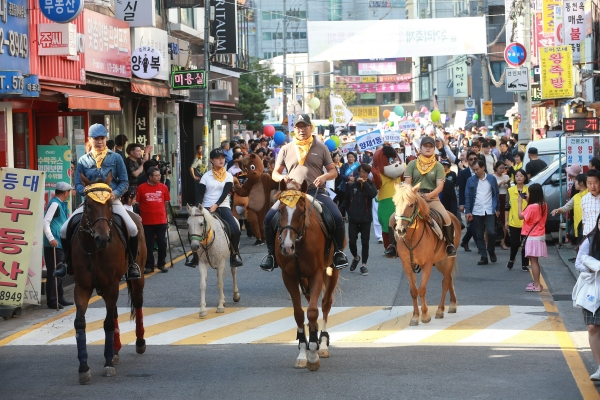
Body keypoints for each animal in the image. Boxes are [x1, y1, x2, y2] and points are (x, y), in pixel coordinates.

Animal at [73, 173, 148, 386]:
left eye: (108, 203)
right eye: (88, 204)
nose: (103, 238)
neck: (94, 249)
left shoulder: (112, 284)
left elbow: (106, 323)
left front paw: (107, 365)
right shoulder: (81, 287)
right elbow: (80, 323)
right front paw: (84, 368)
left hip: (136, 277)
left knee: (137, 303)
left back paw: (140, 342)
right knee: (113, 311)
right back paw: (115, 350)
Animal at [274, 180, 340, 370]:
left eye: (301, 211)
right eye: (280, 210)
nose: (286, 246)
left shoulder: (316, 273)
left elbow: (312, 311)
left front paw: (312, 356)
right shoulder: (288, 277)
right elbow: (298, 313)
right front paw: (303, 352)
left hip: (332, 270)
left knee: (325, 304)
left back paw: (322, 343)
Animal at [394, 183, 460, 326]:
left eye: (411, 204)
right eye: (395, 203)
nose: (400, 230)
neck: (412, 237)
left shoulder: (427, 264)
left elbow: (422, 289)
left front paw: (425, 316)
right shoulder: (407, 265)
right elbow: (414, 291)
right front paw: (415, 317)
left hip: (448, 259)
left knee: (446, 282)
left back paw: (440, 310)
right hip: (440, 262)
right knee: (449, 279)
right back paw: (452, 305)